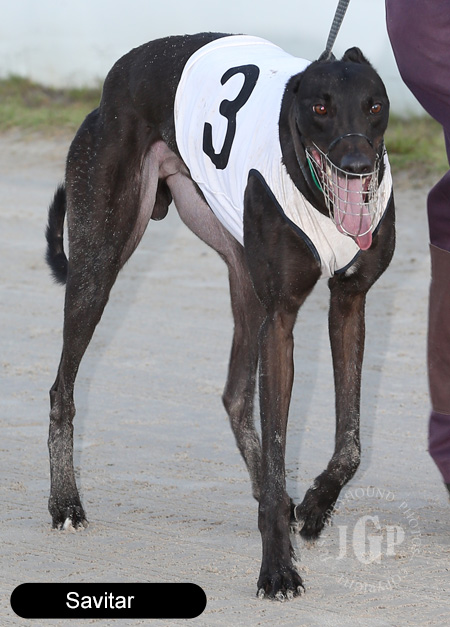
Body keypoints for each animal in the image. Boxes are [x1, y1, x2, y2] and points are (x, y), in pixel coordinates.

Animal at [45, 33, 395, 600]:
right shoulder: (281, 319)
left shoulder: (349, 302)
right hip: (98, 262)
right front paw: (277, 568)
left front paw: (315, 505)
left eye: (376, 106)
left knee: (234, 396)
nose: (358, 164)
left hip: (241, 272)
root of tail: (116, 77)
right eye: (320, 108)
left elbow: (350, 444)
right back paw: (65, 502)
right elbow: (279, 449)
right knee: (63, 387)